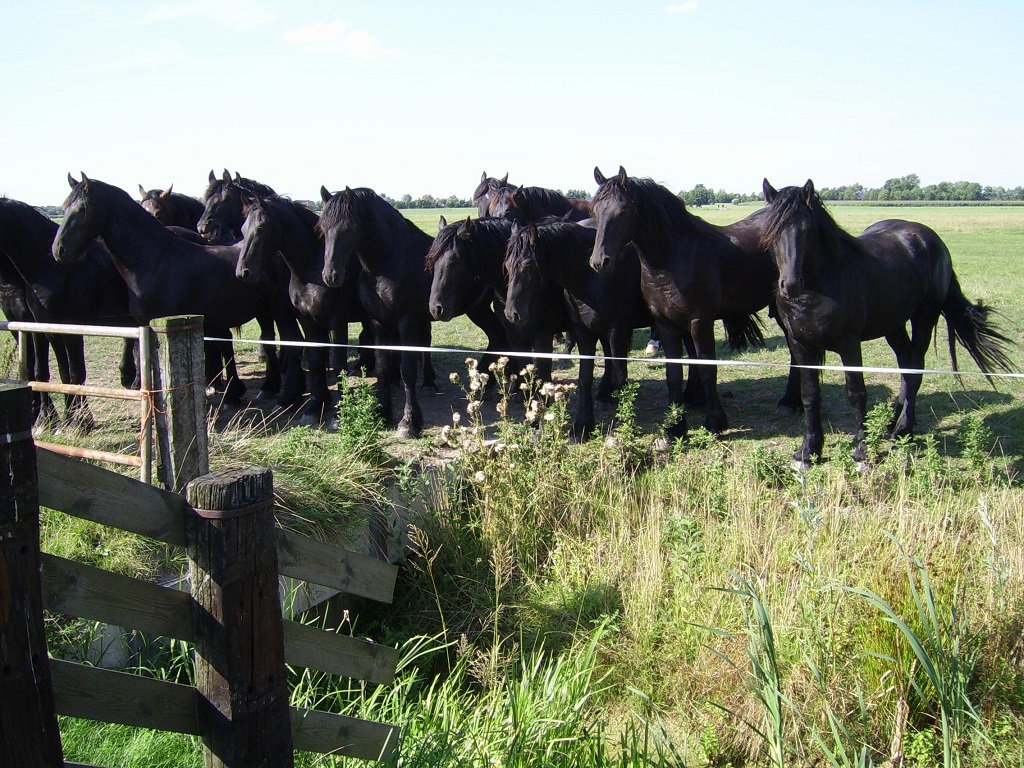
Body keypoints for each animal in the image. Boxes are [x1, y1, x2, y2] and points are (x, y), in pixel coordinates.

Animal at [54, 174, 294, 403]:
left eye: (82, 209)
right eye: (64, 207)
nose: (59, 250)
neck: (155, 258)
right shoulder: (145, 325)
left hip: (279, 308)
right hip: (263, 309)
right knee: (269, 340)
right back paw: (267, 387)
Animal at [501, 221, 647, 438]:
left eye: (528, 265)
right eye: (507, 266)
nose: (512, 314)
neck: (594, 278)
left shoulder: (617, 331)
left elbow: (620, 375)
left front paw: (623, 426)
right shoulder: (584, 332)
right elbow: (584, 378)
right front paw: (582, 427)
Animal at [585, 166, 798, 438]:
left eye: (622, 211)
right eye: (595, 211)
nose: (600, 261)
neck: (672, 259)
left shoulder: (700, 322)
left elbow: (707, 369)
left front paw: (715, 421)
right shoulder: (665, 325)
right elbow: (674, 374)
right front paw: (676, 426)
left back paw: (789, 402)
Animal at [765, 179, 1011, 468]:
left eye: (807, 229)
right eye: (770, 230)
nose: (790, 285)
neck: (818, 287)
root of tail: (931, 239)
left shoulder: (849, 344)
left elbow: (856, 393)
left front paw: (862, 452)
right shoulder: (800, 344)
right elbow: (809, 394)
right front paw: (808, 451)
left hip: (925, 317)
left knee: (914, 368)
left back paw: (903, 429)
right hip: (893, 324)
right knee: (905, 363)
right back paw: (894, 421)